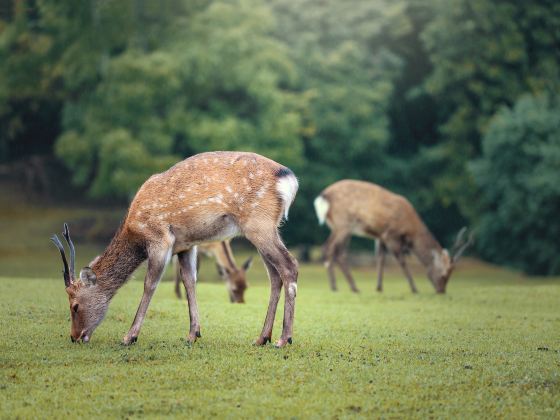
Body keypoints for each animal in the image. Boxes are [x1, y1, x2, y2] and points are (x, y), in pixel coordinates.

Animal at [50, 151, 300, 348]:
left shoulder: (160, 239)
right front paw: (193, 334)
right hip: (264, 227)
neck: (135, 231)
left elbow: (150, 284)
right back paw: (262, 338)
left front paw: (129, 336)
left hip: (259, 223)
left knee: (289, 266)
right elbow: (190, 281)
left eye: (74, 306)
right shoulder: (186, 245)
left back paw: (283, 339)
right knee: (274, 274)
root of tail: (289, 179)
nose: (74, 336)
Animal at [316, 179, 472, 294]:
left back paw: (347, 286)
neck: (410, 228)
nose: (441, 291)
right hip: (344, 224)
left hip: (339, 226)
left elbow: (381, 259)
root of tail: (323, 196)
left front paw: (379, 287)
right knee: (332, 249)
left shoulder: (380, 236)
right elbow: (401, 261)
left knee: (334, 250)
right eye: (444, 274)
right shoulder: (391, 235)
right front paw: (414, 289)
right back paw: (342, 287)